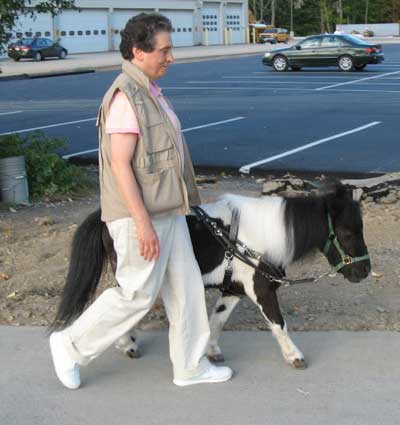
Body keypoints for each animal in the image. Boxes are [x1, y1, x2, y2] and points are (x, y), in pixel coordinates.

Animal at [51, 185, 370, 368]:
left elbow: (217, 320)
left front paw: (212, 351)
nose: (365, 270)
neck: (256, 239)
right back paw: (124, 344)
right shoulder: (262, 290)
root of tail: (104, 216)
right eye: (347, 232)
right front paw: (295, 356)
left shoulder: (233, 290)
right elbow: (278, 324)